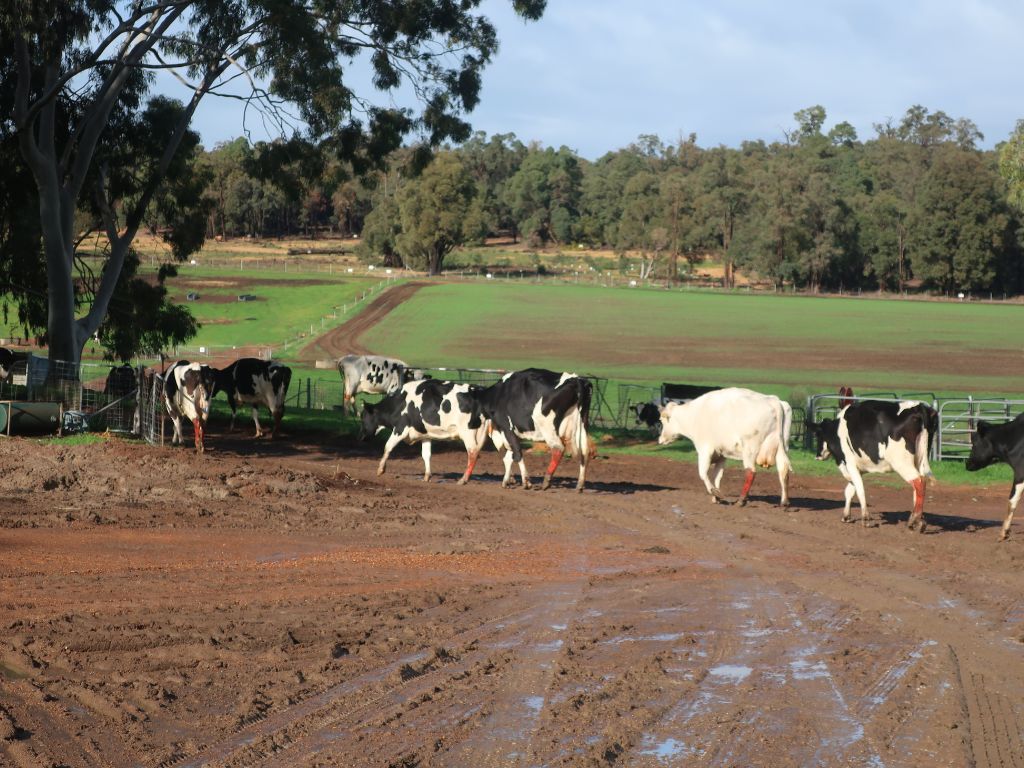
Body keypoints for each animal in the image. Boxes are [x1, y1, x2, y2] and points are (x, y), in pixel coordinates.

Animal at [358, 380, 489, 483]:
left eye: (363, 417)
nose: (361, 437)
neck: (399, 403)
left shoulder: (400, 428)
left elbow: (388, 446)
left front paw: (380, 470)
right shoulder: (425, 435)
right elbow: (426, 455)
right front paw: (427, 476)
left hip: (467, 432)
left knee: (472, 452)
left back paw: (464, 479)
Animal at [655, 387, 790, 507]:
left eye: (661, 420)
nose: (660, 440)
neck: (694, 415)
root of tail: (773, 400)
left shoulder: (705, 450)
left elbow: (703, 473)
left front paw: (714, 492)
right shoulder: (721, 455)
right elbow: (717, 476)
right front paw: (716, 498)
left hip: (749, 450)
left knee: (751, 472)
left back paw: (741, 500)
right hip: (781, 447)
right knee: (783, 469)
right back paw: (784, 501)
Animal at [806, 399, 937, 532]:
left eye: (818, 435)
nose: (817, 455)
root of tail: (919, 407)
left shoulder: (850, 463)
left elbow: (860, 490)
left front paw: (865, 519)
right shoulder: (858, 468)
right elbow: (850, 490)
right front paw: (846, 516)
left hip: (901, 462)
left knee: (918, 482)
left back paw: (914, 519)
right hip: (920, 460)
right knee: (919, 485)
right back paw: (917, 520)